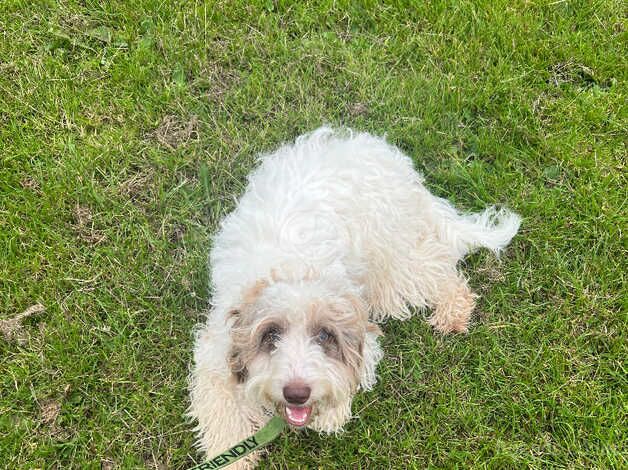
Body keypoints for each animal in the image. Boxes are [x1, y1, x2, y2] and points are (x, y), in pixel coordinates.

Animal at [188, 126, 520, 468]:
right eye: (271, 335)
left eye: (324, 336)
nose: (297, 393)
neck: (292, 270)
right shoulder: (216, 356)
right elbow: (223, 417)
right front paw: (232, 458)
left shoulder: (361, 325)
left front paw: (331, 411)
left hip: (391, 266)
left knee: (439, 266)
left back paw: (453, 311)